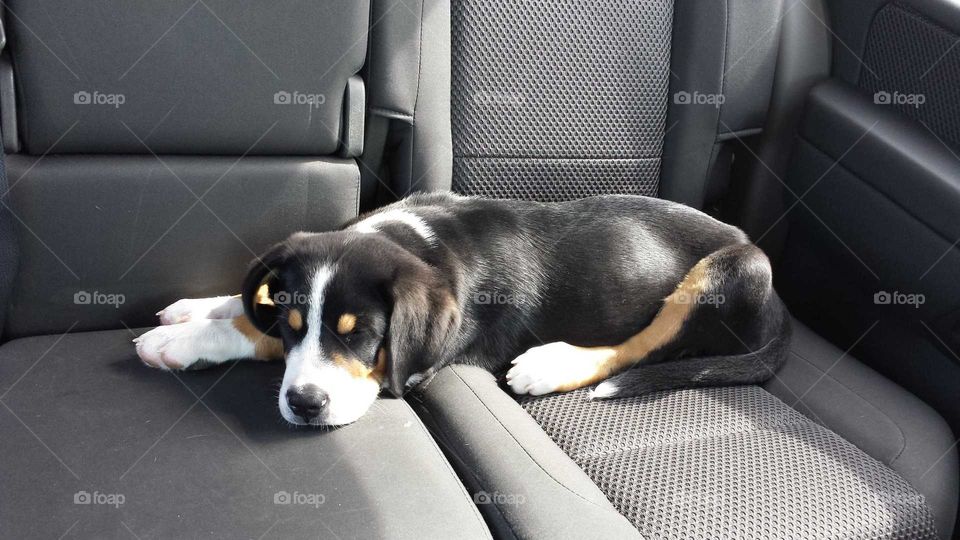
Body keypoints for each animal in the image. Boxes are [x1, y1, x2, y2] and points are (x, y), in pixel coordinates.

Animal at [139, 193, 792, 426]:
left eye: (361, 335)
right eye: (302, 322)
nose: (304, 404)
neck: (411, 238)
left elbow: (257, 334)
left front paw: (178, 343)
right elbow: (260, 310)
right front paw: (198, 308)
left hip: (731, 268)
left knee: (646, 345)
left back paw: (551, 364)